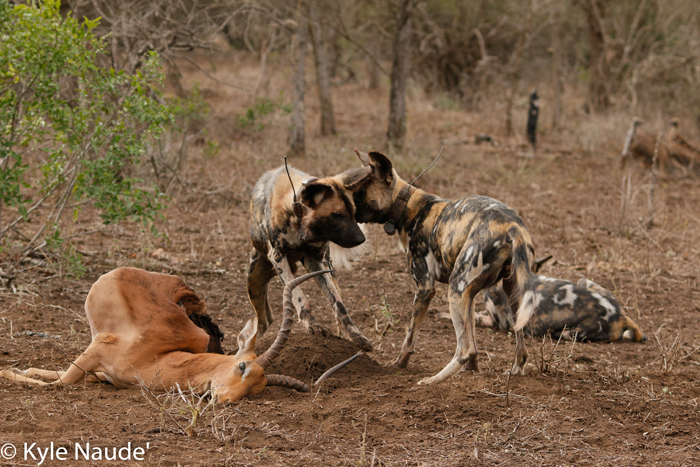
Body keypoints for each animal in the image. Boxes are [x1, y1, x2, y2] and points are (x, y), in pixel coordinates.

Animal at [0, 268, 344, 404]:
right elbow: (56, 384)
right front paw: (7, 371)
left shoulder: (100, 371)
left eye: (256, 390)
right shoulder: (97, 348)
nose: (224, 400)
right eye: (242, 366)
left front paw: (24, 368)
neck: (153, 359)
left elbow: (53, 377)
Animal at [249, 165, 374, 352]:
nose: (361, 239)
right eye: (337, 215)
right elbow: (300, 297)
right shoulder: (278, 258)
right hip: (254, 284)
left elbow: (339, 306)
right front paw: (313, 325)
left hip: (329, 270)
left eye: (353, 212)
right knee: (263, 322)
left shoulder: (316, 262)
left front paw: (355, 335)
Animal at [348, 149, 540, 384]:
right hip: (509, 293)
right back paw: (514, 371)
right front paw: (473, 373)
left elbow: (409, 339)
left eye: (358, 194)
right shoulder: (470, 296)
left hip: (455, 289)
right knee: (519, 349)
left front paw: (398, 366)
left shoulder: (425, 289)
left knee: (464, 350)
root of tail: (512, 226)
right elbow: (474, 344)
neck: (409, 209)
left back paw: (432, 381)